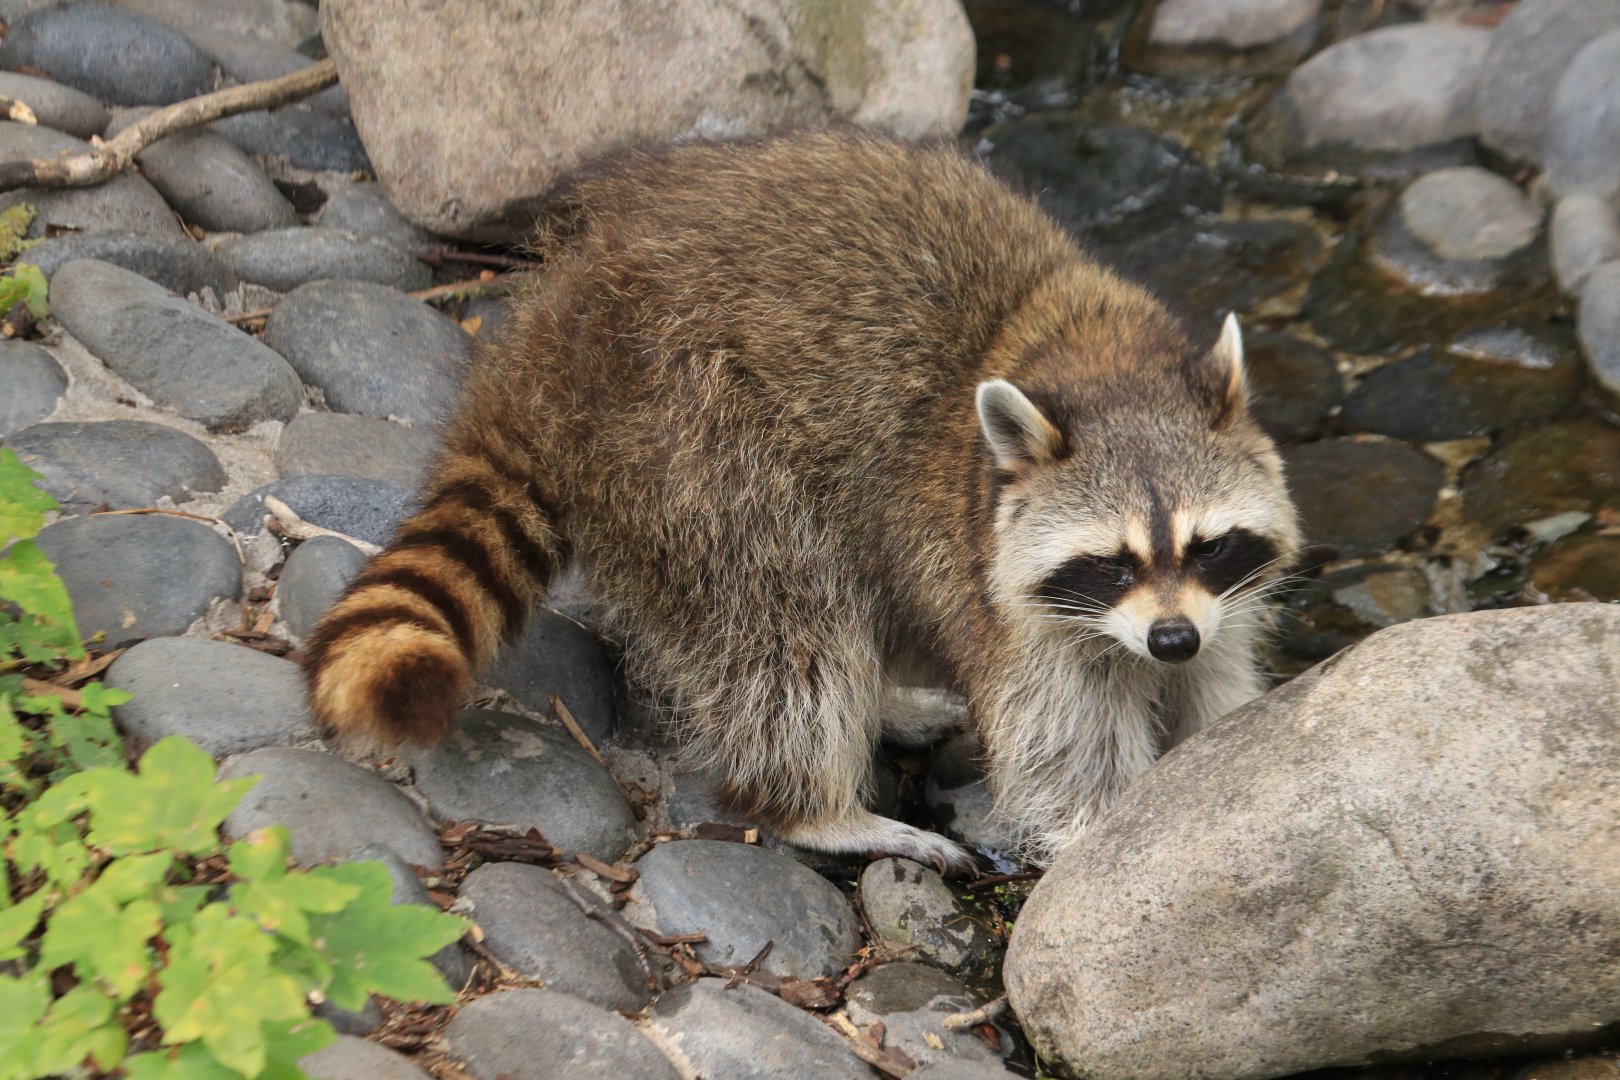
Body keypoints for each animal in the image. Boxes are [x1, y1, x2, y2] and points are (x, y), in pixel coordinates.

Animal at [305, 130, 1303, 870]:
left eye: (1208, 546)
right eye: (1113, 561)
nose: (1168, 640)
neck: (1106, 361)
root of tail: (546, 337)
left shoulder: (1214, 603)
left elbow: (1217, 687)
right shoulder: (991, 574)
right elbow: (1061, 745)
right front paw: (1100, 842)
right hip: (687, 434)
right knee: (785, 626)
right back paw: (816, 807)